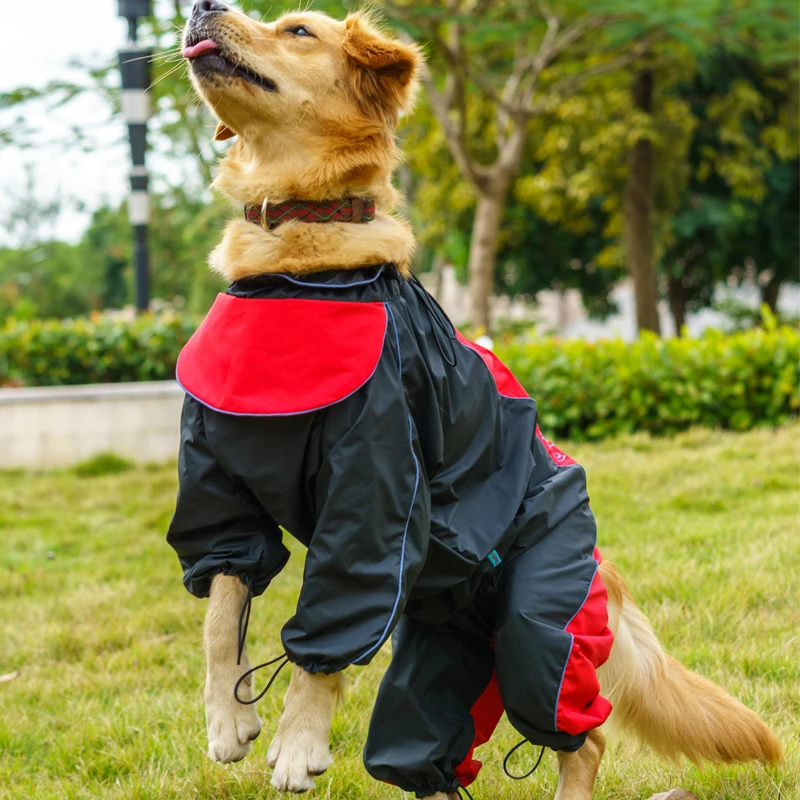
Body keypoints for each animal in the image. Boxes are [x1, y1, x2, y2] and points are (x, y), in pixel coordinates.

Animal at [177, 1, 780, 800]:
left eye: (298, 31)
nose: (202, 7)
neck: (296, 270)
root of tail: (607, 569)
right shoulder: (218, 482)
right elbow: (221, 609)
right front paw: (228, 718)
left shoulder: (372, 494)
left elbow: (331, 627)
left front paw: (299, 741)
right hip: (437, 663)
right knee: (425, 754)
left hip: (539, 630)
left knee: (584, 735)